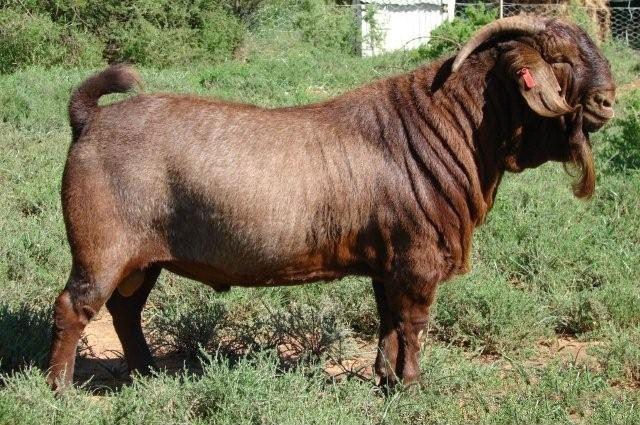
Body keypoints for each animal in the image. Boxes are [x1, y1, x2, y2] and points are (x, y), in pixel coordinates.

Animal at [46, 16, 616, 390]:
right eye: (561, 60)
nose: (608, 101)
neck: (443, 127)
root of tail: (90, 119)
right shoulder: (417, 261)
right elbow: (413, 324)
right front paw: (412, 387)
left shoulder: (388, 263)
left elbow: (388, 321)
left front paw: (385, 380)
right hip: (103, 246)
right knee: (75, 306)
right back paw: (60, 389)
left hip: (145, 258)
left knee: (125, 309)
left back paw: (147, 373)